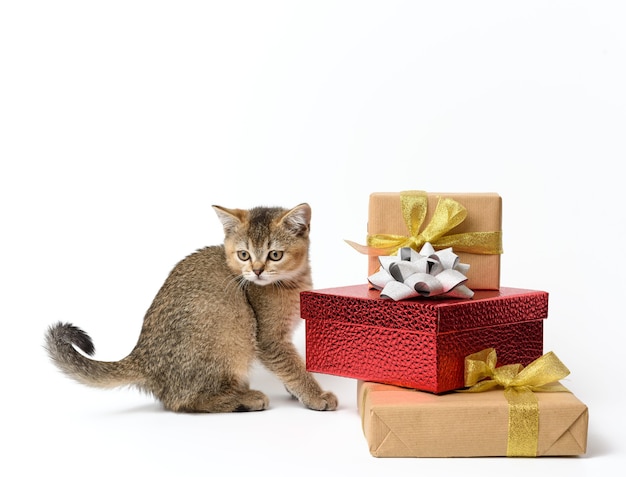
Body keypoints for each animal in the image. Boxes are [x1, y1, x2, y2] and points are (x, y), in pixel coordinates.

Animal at [44, 203, 336, 410]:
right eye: (244, 254)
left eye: (275, 254)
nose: (256, 271)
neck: (292, 282)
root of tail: (141, 358)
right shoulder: (270, 339)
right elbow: (292, 367)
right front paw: (315, 395)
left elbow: (291, 366)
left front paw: (297, 392)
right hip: (232, 329)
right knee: (183, 401)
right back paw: (243, 399)